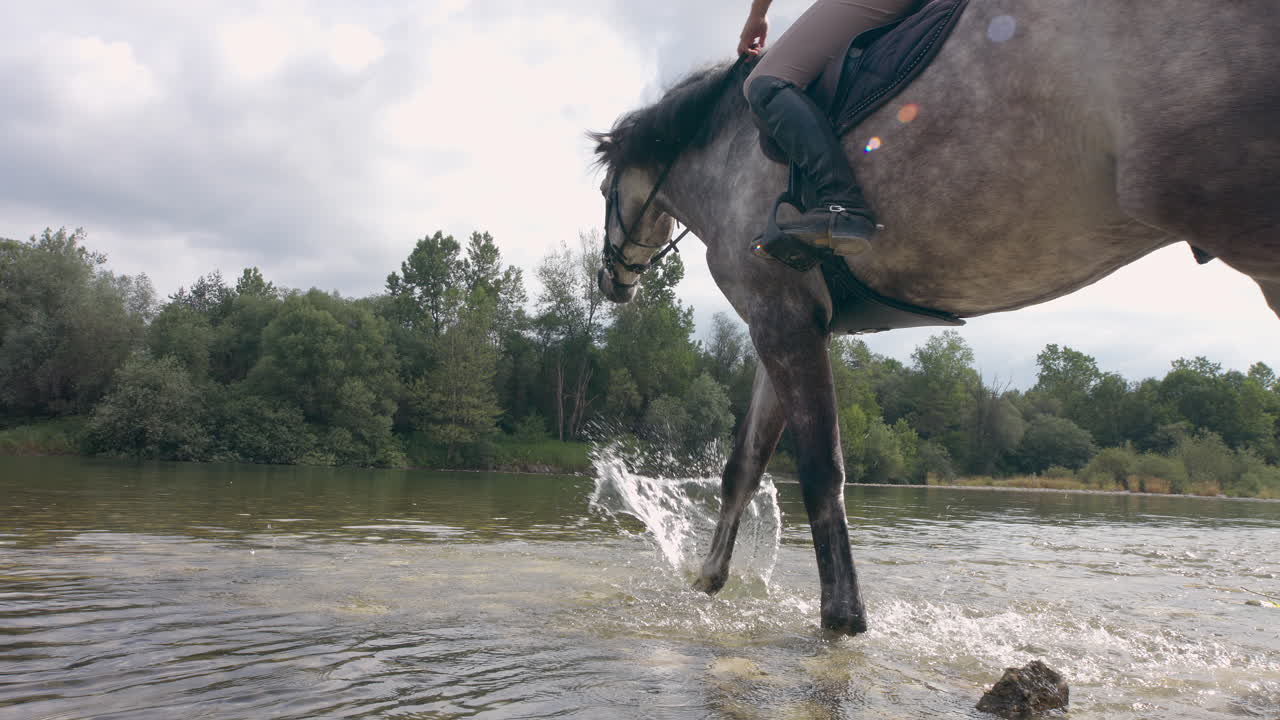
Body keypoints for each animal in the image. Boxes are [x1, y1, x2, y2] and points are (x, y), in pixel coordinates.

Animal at [590, 0, 1280, 634]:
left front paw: (842, 618)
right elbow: (743, 465)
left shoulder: (780, 318)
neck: (726, 152)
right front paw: (707, 582)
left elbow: (819, 470)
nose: (609, 281)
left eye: (603, 193)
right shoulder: (786, 322)